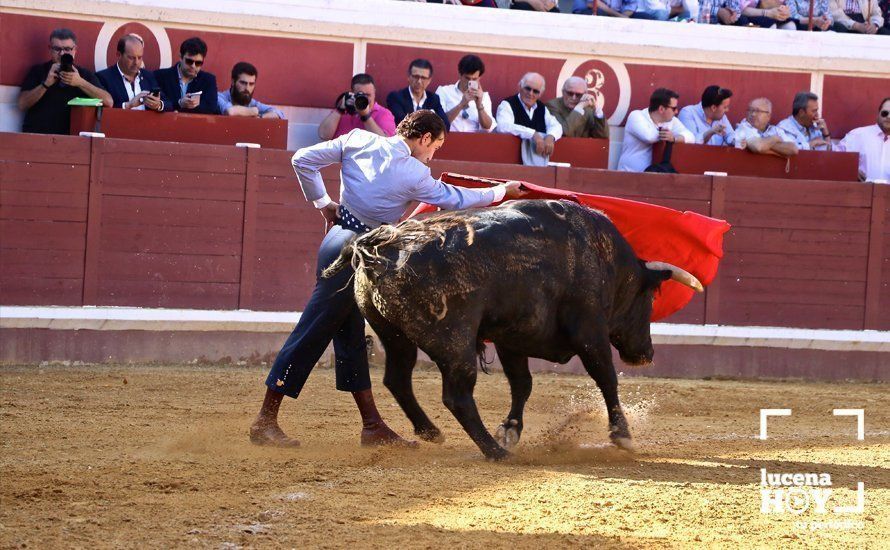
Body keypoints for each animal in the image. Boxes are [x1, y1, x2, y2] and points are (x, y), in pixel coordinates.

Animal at [324, 199, 700, 462]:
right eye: (649, 298)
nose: (646, 353)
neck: (607, 259)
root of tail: (383, 246)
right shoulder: (589, 331)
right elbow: (606, 377)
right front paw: (622, 435)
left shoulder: (512, 338)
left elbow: (522, 384)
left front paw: (510, 430)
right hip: (454, 341)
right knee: (456, 396)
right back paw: (494, 452)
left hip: (394, 335)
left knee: (398, 379)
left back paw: (431, 431)